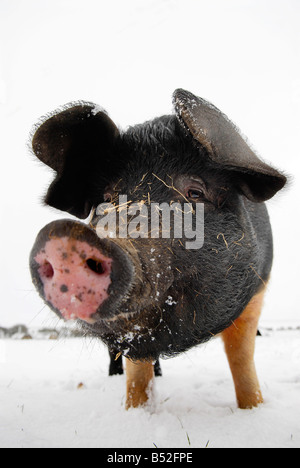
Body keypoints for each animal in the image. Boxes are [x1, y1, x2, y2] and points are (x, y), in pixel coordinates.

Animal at [29, 89, 286, 408]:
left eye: (195, 192)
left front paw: (253, 408)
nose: (68, 236)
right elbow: (137, 372)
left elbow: (241, 357)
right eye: (106, 198)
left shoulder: (257, 291)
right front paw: (137, 410)